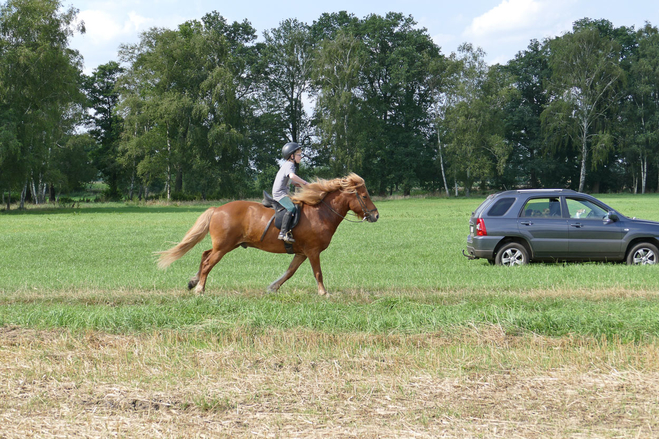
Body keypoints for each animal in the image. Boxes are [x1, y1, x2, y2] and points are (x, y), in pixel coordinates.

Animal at [157, 173, 378, 296]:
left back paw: (193, 282)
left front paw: (273, 287)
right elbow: (318, 273)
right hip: (224, 247)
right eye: (364, 195)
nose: (375, 215)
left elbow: (290, 272)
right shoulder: (313, 251)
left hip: (226, 244)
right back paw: (200, 289)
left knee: (204, 255)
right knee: (208, 263)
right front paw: (324, 292)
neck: (320, 212)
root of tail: (217, 209)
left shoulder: (302, 252)